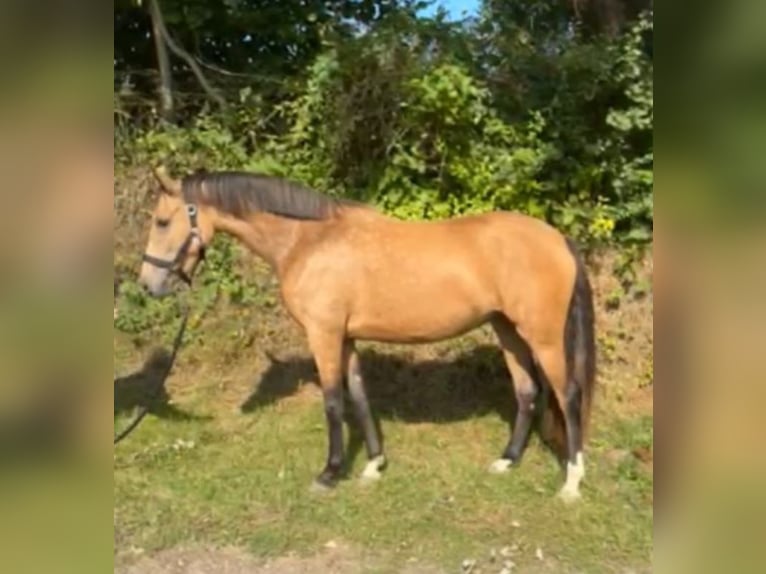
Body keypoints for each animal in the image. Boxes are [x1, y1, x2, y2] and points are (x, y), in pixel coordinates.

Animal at [138, 164, 596, 502]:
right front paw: (373, 466)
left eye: (161, 221)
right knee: (527, 391)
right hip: (507, 330)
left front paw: (329, 473)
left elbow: (333, 402)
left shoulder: (323, 335)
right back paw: (507, 460)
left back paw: (572, 482)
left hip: (543, 337)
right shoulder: (346, 337)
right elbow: (358, 395)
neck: (308, 241)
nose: (148, 285)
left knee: (568, 394)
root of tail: (558, 239)